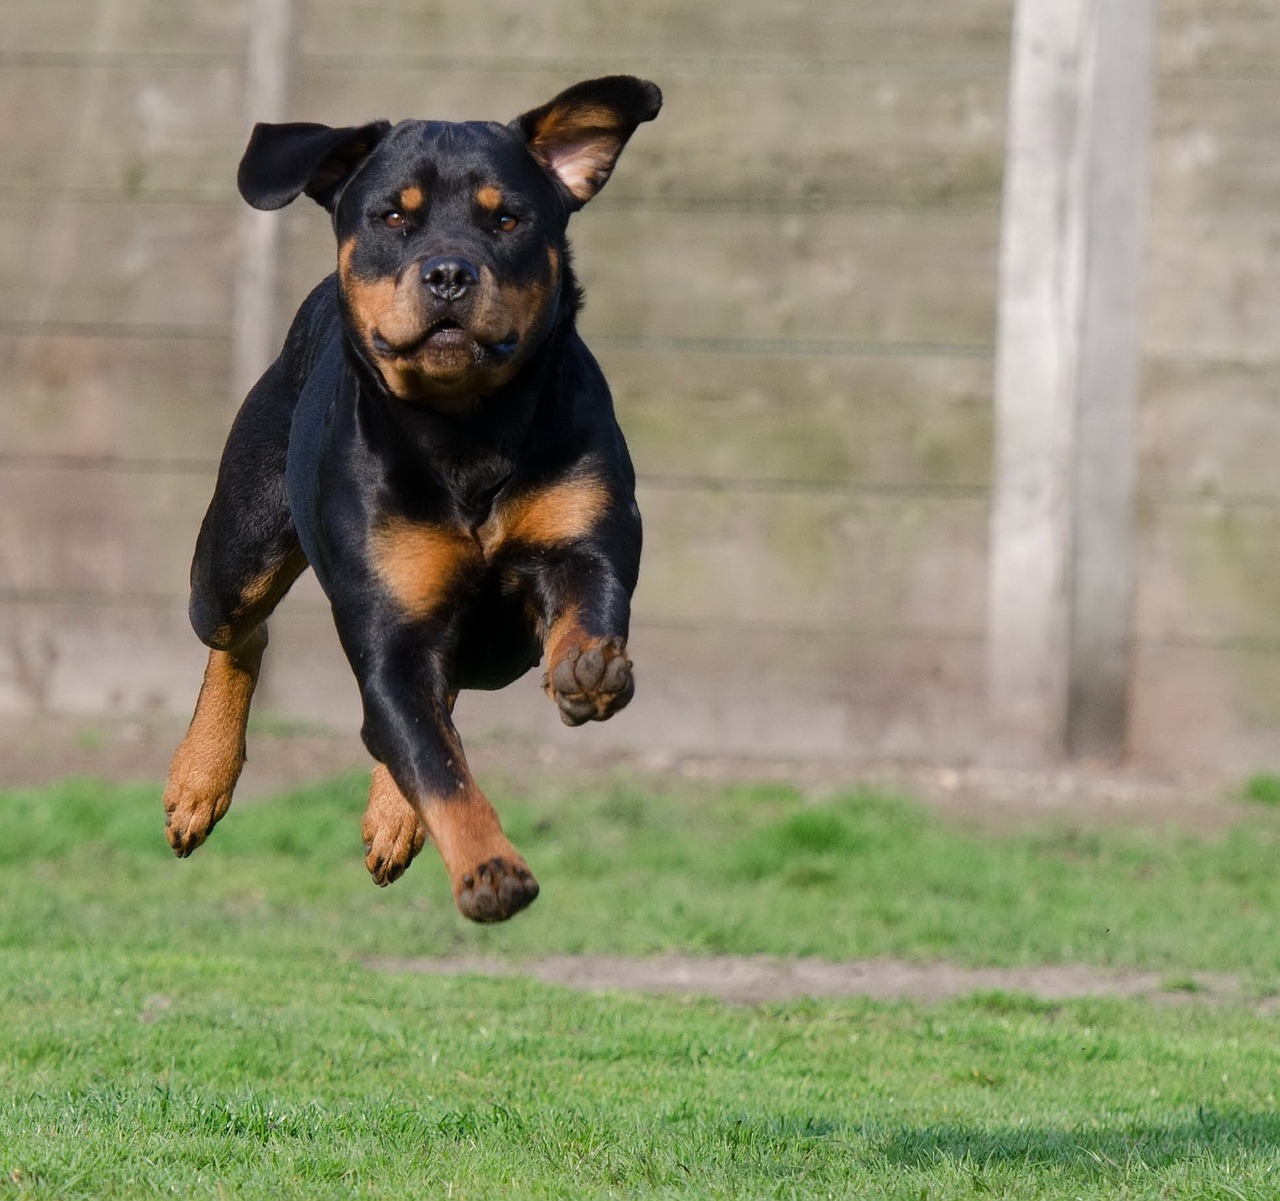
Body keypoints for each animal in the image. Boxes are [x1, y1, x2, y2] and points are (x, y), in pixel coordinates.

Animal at [160, 77, 660, 916]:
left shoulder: (583, 536)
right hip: (234, 557)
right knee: (242, 634)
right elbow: (434, 761)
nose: (450, 271)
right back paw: (199, 781)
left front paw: (588, 666)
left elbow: (586, 605)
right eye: (394, 216)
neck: (467, 429)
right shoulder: (389, 620)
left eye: (506, 218)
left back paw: (390, 815)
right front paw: (489, 868)